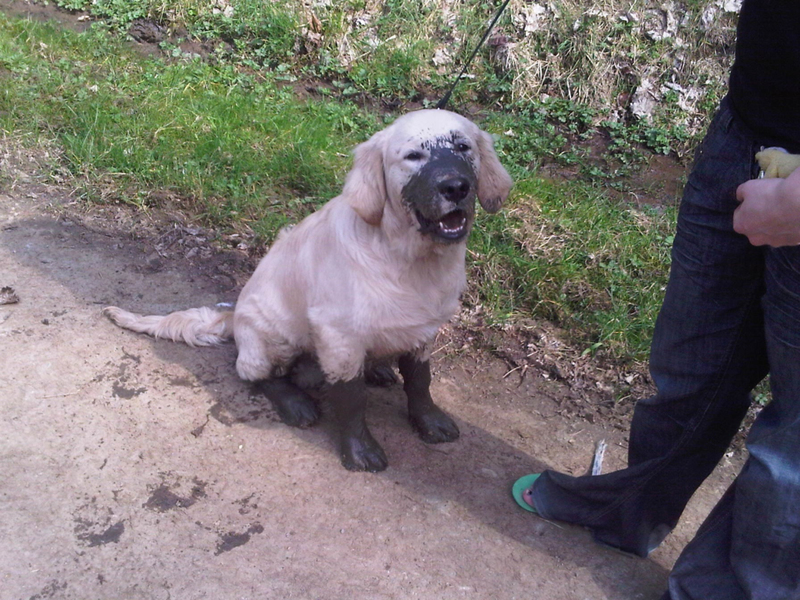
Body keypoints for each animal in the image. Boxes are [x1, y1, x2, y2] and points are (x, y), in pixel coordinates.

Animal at [104, 110, 512, 472]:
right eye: (413, 156)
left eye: (463, 147)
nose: (455, 187)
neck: (407, 257)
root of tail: (233, 314)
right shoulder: (338, 336)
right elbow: (351, 398)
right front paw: (359, 451)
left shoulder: (424, 329)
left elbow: (420, 380)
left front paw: (429, 420)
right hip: (277, 337)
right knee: (256, 374)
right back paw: (294, 402)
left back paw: (379, 369)